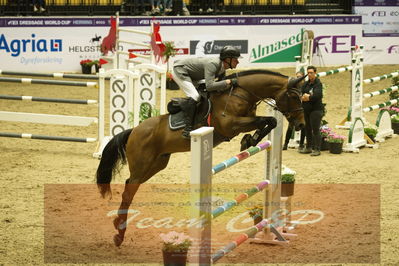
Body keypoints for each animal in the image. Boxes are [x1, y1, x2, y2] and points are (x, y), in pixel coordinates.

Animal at [96, 68, 306, 245]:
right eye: (294, 96)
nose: (301, 124)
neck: (241, 92)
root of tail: (133, 131)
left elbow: (269, 121)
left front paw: (249, 140)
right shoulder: (230, 124)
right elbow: (266, 120)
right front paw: (249, 140)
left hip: (157, 164)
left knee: (129, 184)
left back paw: (118, 226)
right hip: (142, 164)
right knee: (128, 191)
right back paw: (119, 233)